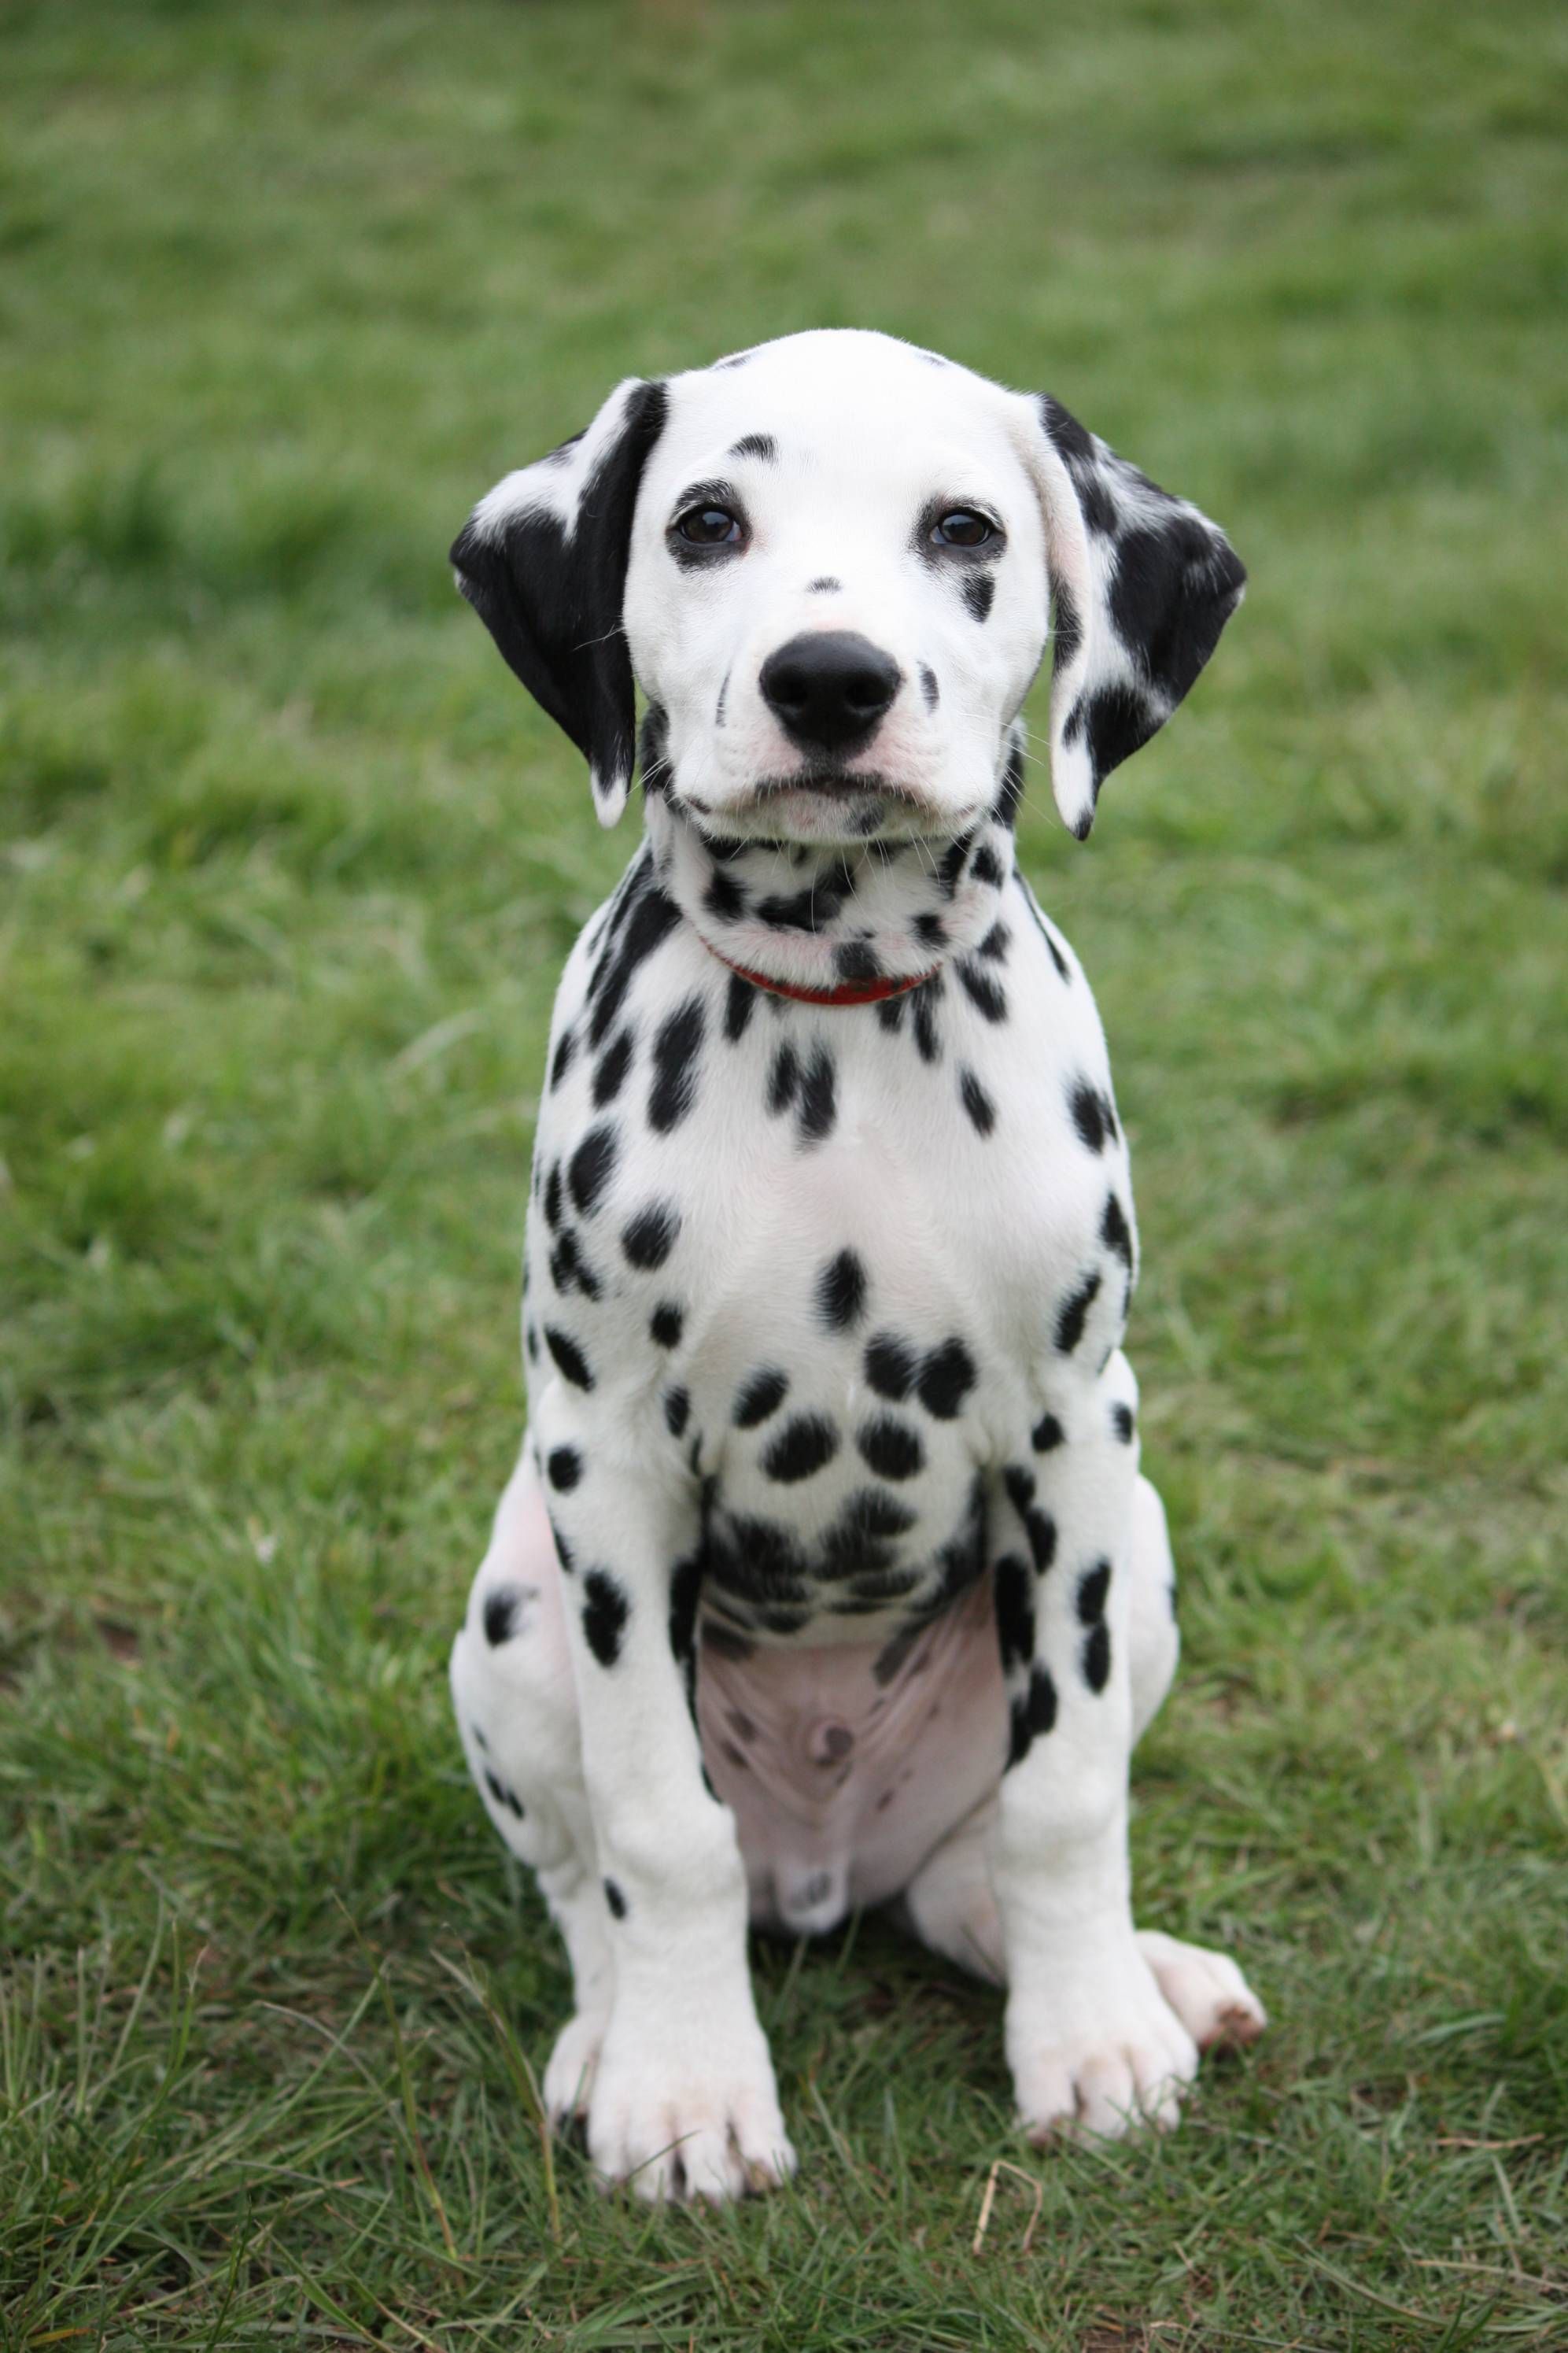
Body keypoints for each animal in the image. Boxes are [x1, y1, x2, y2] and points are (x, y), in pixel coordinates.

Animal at [446, 327, 1269, 2202]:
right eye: (704, 520)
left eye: (964, 528)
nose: (831, 681)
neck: (832, 1007)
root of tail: (821, 1863)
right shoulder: (608, 1462)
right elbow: (658, 1827)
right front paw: (685, 2091)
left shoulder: (1073, 1436)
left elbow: (1065, 1799)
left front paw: (1088, 2042)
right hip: (513, 1606)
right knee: (589, 1881)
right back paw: (608, 2035)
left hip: (1140, 1553)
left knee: (976, 1861)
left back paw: (1143, 1977)